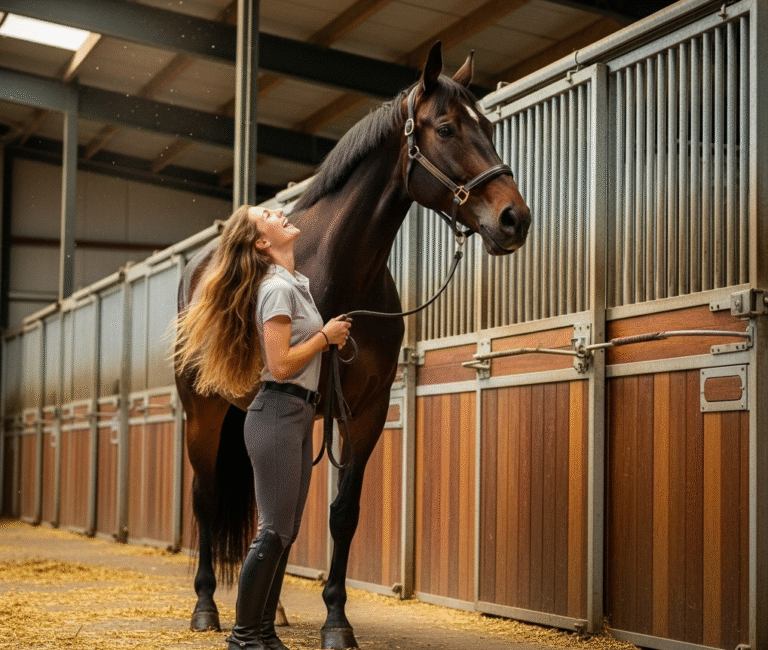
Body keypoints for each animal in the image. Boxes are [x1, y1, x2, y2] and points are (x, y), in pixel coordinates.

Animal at [176, 41, 531, 650]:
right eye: (446, 128)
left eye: (487, 127)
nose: (516, 219)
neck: (335, 270)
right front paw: (320, 620)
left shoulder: (363, 410)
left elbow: (340, 514)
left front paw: (334, 621)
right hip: (203, 412)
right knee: (205, 498)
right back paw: (206, 607)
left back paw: (274, 612)